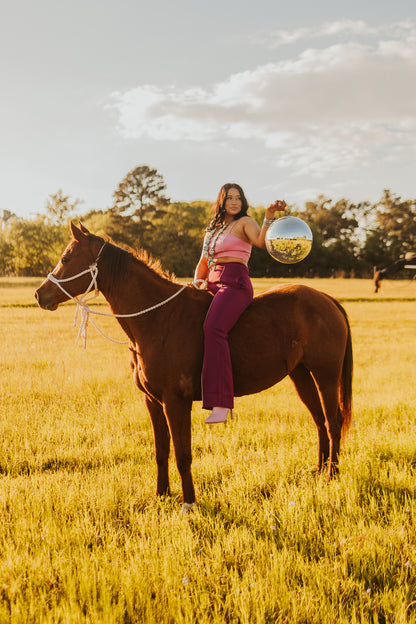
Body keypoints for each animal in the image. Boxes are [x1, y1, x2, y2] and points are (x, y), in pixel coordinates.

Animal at [36, 224, 354, 512]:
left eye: (66, 258)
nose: (40, 295)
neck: (158, 318)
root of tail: (327, 300)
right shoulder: (152, 401)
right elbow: (161, 451)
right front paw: (161, 495)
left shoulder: (176, 402)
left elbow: (182, 454)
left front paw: (188, 503)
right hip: (300, 376)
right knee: (319, 421)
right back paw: (319, 470)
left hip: (326, 377)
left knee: (333, 421)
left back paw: (332, 474)